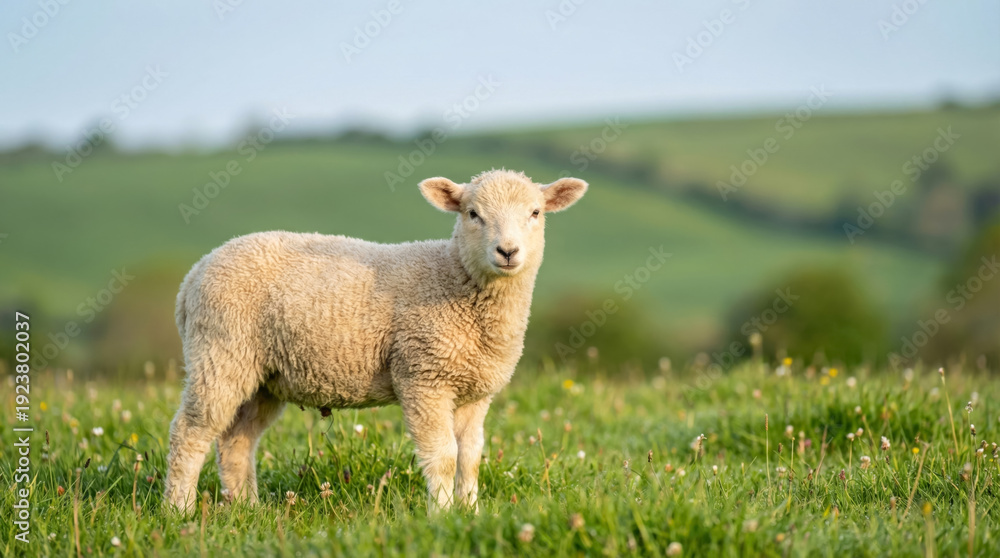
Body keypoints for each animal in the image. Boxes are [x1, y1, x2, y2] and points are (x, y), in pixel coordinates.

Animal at [163, 169, 588, 514]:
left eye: (536, 213)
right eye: (472, 214)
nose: (508, 251)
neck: (454, 279)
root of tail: (193, 276)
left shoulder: (474, 391)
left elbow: (470, 457)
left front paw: (470, 512)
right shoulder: (422, 377)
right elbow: (443, 456)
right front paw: (443, 515)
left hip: (262, 375)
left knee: (237, 440)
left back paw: (248, 508)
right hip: (220, 351)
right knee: (190, 432)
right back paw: (179, 510)